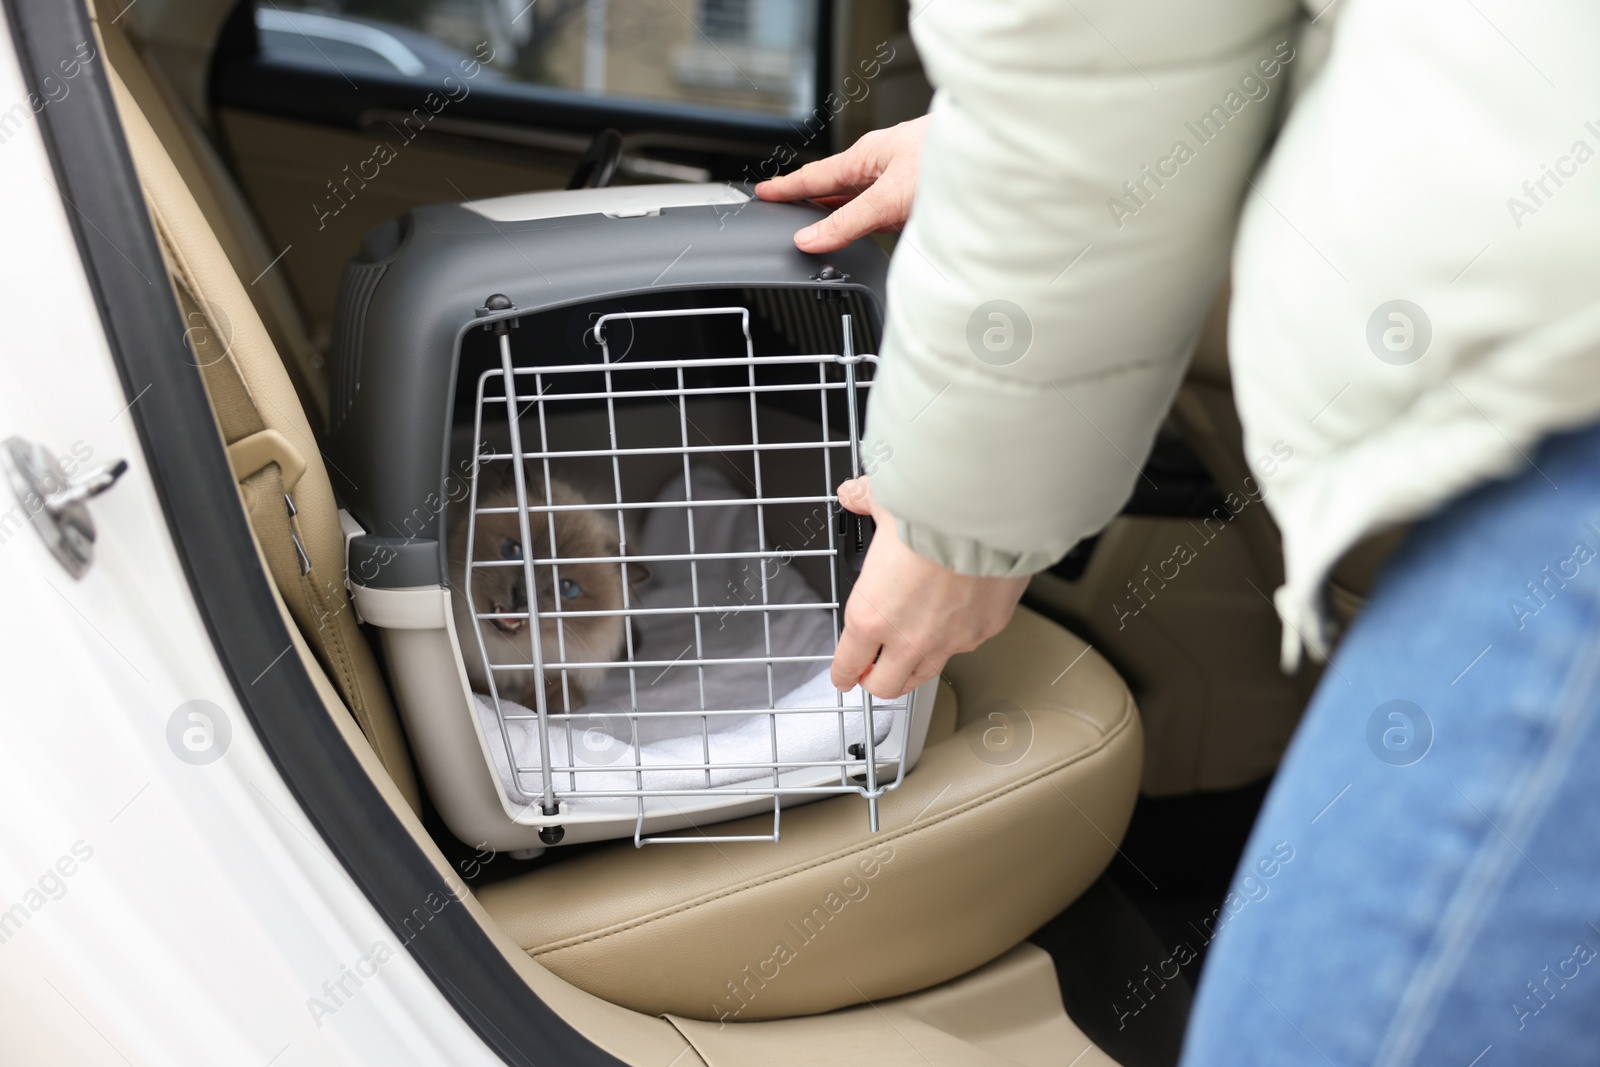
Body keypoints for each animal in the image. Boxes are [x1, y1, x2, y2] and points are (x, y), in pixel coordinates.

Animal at [448, 470, 646, 713]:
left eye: (567, 587)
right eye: (514, 550)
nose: (521, 596)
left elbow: (556, 687)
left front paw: (547, 704)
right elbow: (480, 687)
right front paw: (483, 696)